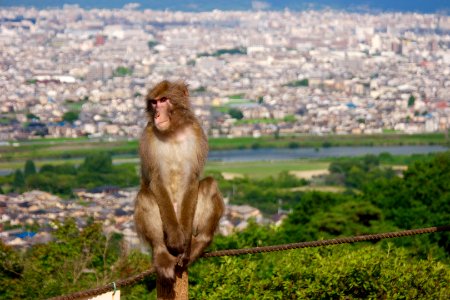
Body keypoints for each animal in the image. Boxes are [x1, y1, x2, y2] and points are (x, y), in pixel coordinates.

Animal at [134, 79, 225, 282]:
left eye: (164, 100)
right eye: (154, 102)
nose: (157, 114)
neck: (173, 132)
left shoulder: (197, 133)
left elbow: (192, 179)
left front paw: (186, 247)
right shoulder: (148, 136)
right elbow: (156, 181)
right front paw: (176, 239)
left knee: (209, 185)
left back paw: (199, 243)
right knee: (145, 195)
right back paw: (162, 254)